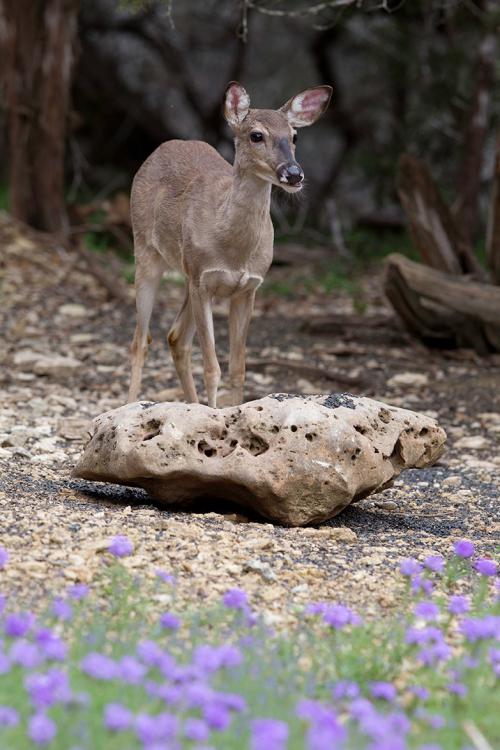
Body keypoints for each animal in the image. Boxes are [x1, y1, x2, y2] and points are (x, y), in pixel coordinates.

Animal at [127, 81, 332, 408]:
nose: (293, 173)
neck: (234, 250)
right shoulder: (203, 281)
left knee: (176, 337)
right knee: (140, 341)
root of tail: (162, 148)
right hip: (146, 251)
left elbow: (238, 369)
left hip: (187, 274)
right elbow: (212, 368)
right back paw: (130, 405)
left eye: (295, 136)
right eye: (256, 135)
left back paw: (192, 405)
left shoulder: (247, 288)